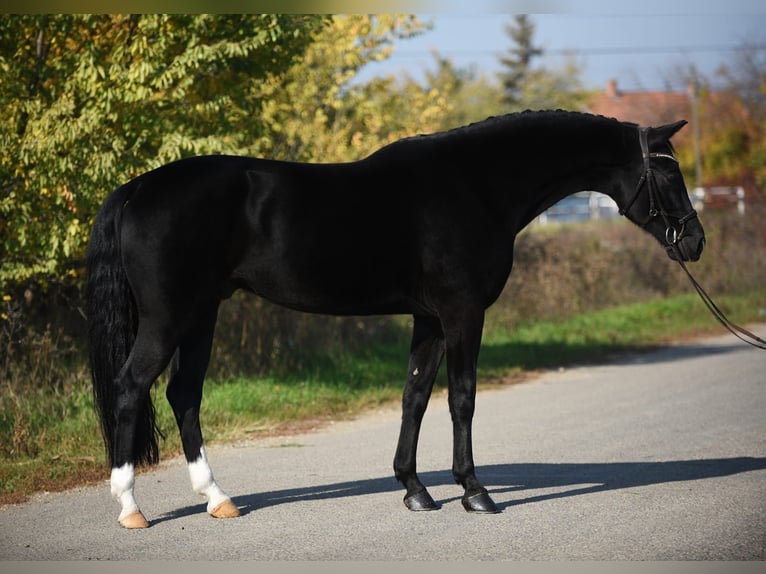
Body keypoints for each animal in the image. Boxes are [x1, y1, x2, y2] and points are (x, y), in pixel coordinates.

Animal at [87, 110, 704, 528]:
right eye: (669, 176)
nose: (695, 242)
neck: (475, 183)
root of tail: (137, 188)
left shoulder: (428, 318)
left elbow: (415, 395)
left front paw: (414, 489)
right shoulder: (461, 313)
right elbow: (462, 397)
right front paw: (474, 491)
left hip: (202, 316)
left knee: (183, 395)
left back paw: (218, 500)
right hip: (170, 317)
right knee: (129, 388)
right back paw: (131, 507)